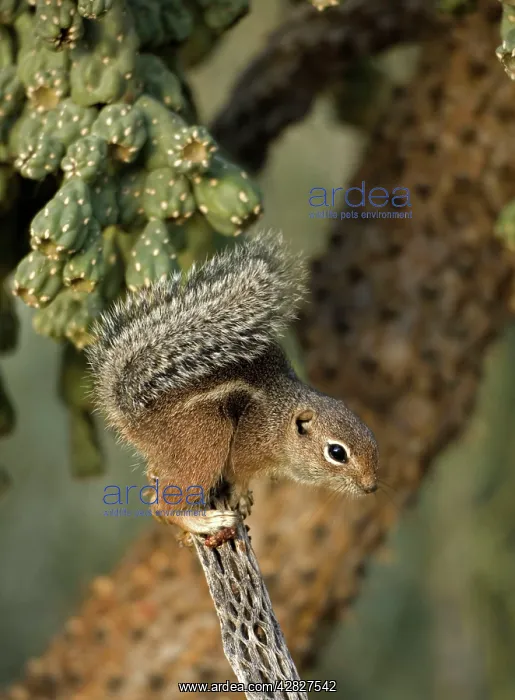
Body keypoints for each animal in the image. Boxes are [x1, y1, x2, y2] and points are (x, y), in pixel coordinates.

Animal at [87, 233, 379, 540]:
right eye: (337, 453)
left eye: (372, 439)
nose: (371, 486)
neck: (279, 418)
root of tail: (134, 412)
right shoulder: (247, 446)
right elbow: (239, 474)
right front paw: (240, 496)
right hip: (205, 437)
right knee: (167, 505)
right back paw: (203, 522)